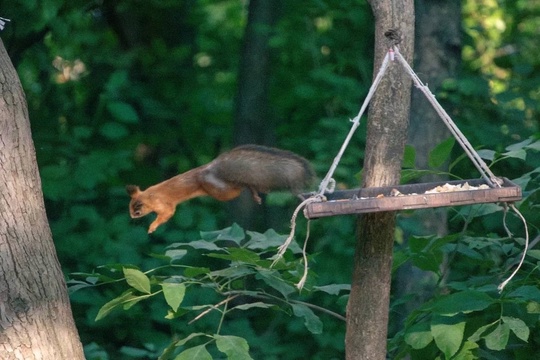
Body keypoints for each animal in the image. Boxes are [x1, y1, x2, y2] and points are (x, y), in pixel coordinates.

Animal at [126, 145, 314, 235]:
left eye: (136, 211)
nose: (132, 217)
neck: (148, 196)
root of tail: (209, 169)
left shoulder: (162, 204)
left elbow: (166, 214)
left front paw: (152, 226)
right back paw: (255, 193)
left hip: (223, 191)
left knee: (242, 185)